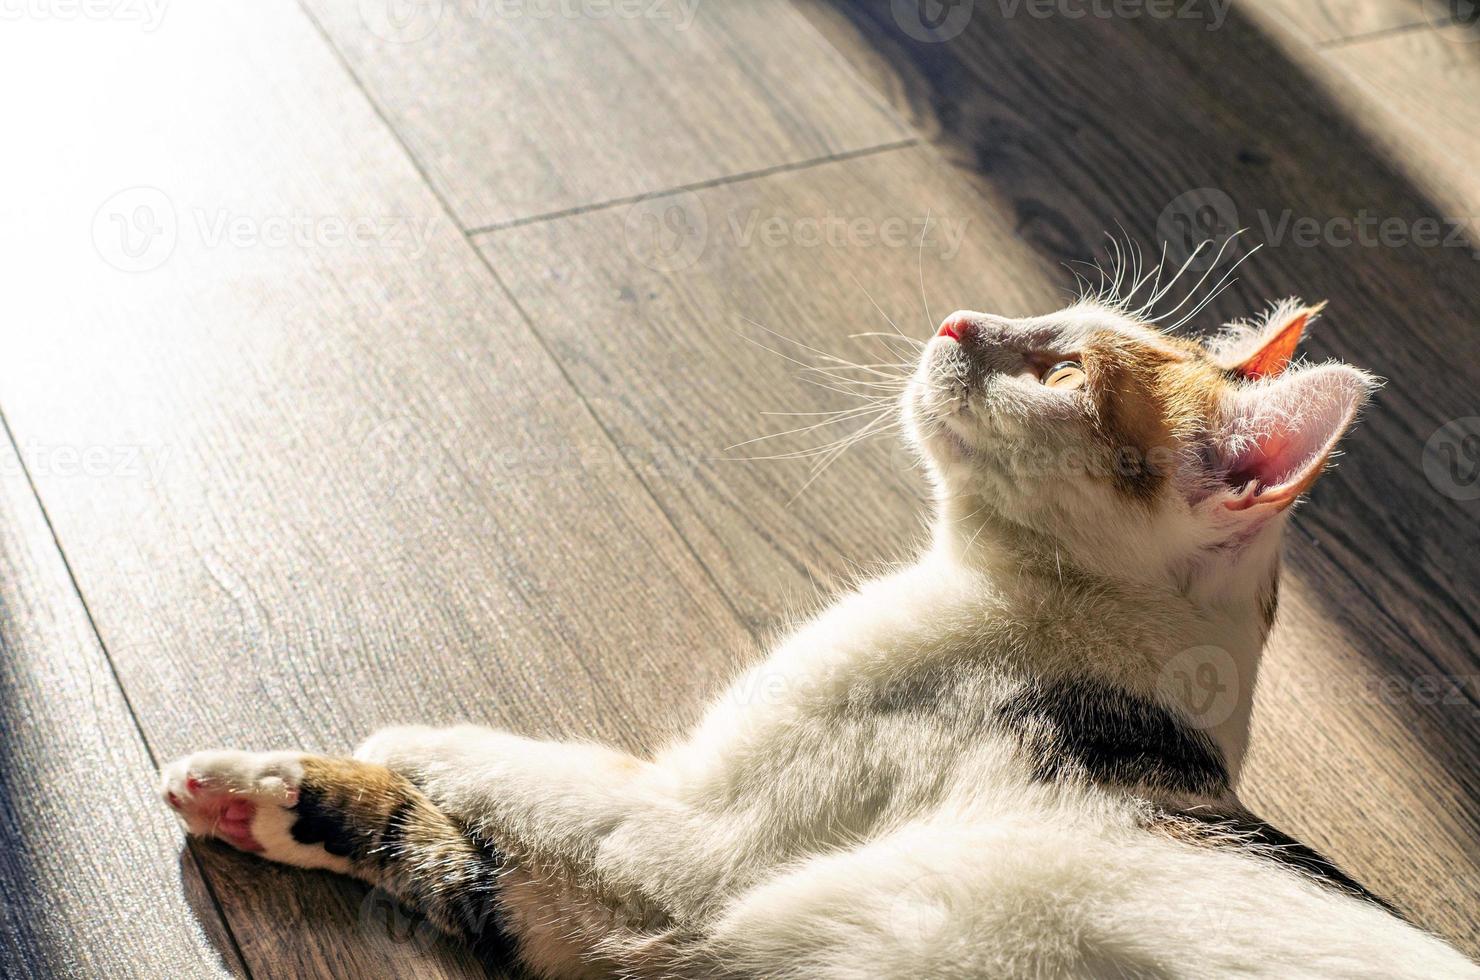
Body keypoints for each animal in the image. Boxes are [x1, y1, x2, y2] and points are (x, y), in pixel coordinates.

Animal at [156, 288, 1474, 977]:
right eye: (1046, 309)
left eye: (1061, 369)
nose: (957, 319)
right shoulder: (622, 930)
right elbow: (451, 859)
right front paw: (260, 797)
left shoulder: (679, 846)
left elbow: (516, 774)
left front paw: (400, 742)